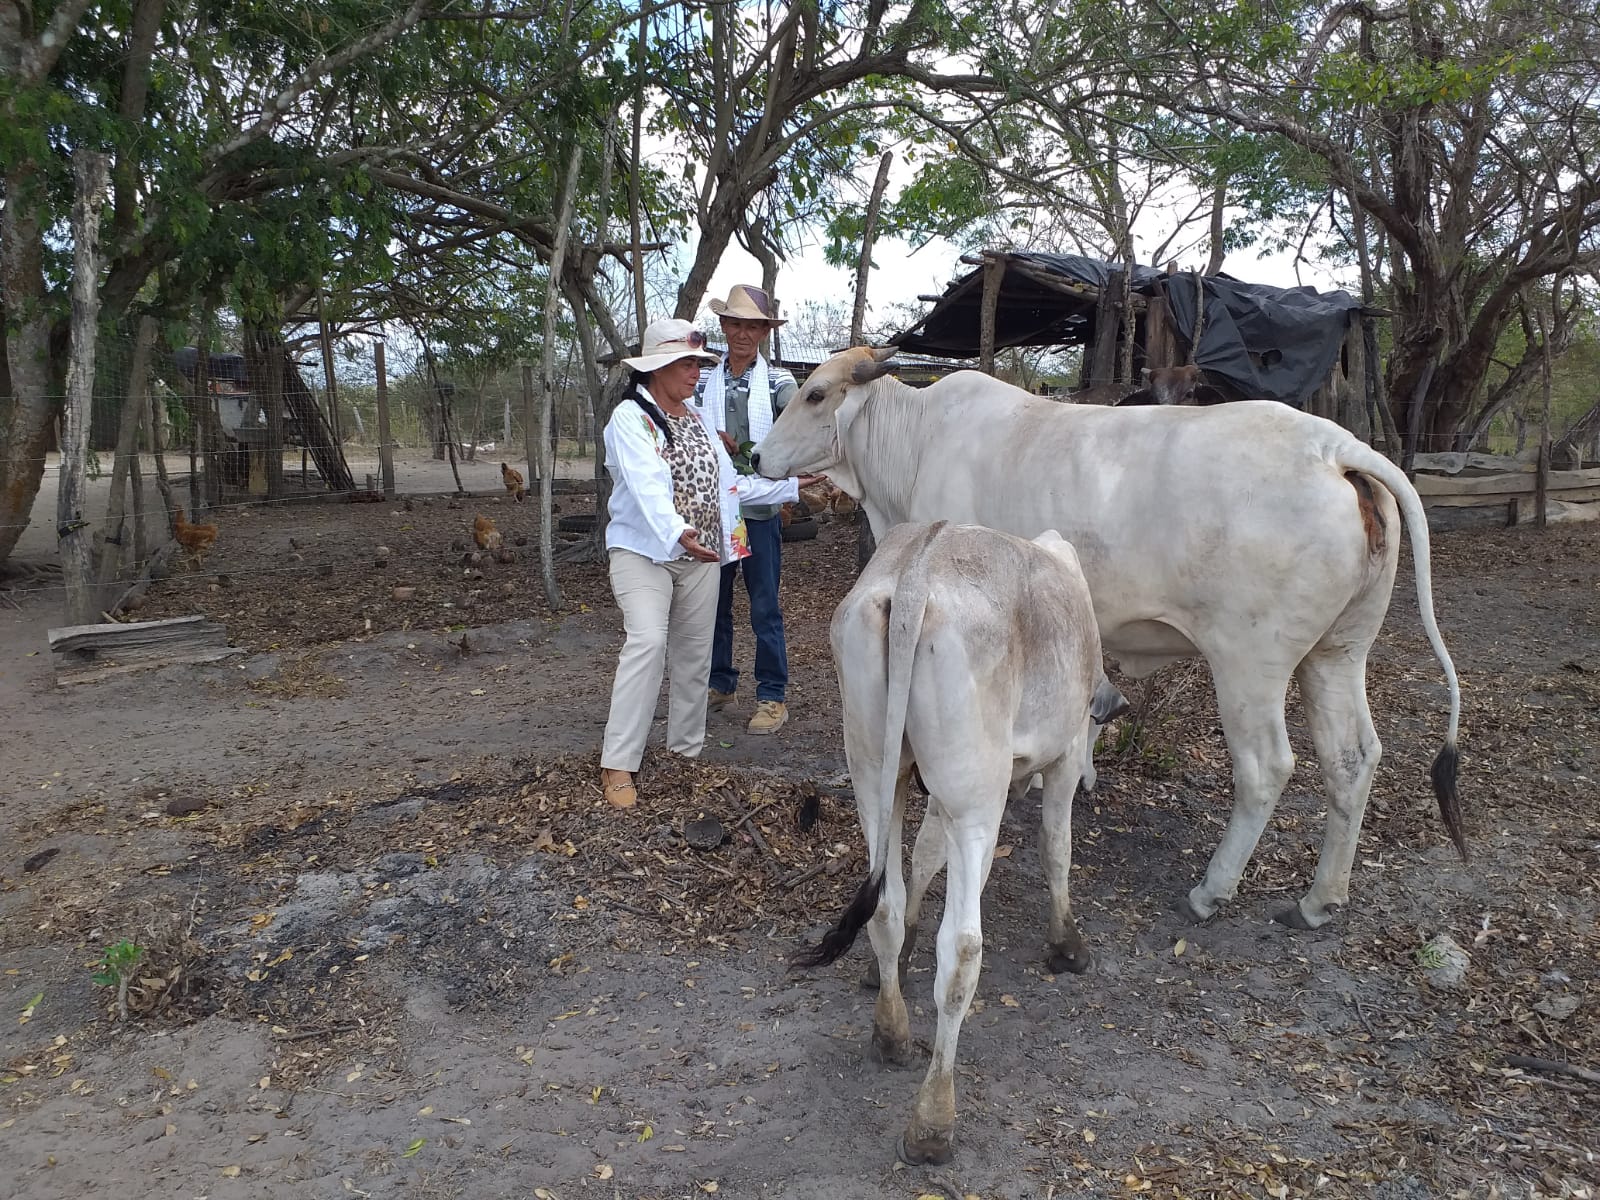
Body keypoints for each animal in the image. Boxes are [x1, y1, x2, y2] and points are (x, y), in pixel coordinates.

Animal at [755, 347, 1465, 928]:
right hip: (1338, 653)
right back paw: (1320, 899)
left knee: (1266, 768)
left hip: (1249, 664)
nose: (758, 456)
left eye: (815, 393)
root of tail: (1335, 447)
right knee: (1353, 758)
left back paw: (1212, 890)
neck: (916, 442)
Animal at [790, 524, 1120, 1164]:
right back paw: (932, 1121)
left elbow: (923, 857)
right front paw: (1067, 944)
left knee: (884, 905)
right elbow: (1056, 846)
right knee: (963, 951)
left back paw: (890, 1032)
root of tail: (919, 567)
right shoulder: (1063, 758)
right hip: (975, 797)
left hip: (875, 771)